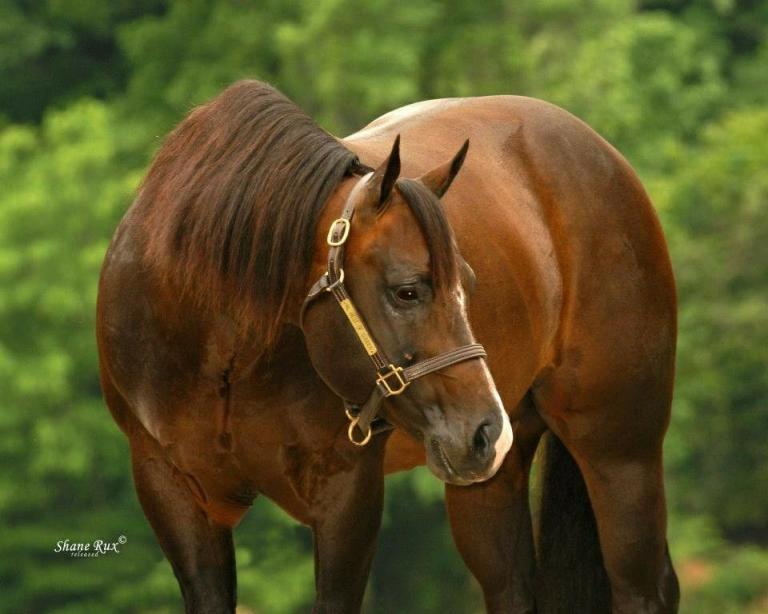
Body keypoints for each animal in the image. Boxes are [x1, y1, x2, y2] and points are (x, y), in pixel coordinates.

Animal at [96, 79, 680, 612]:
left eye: (468, 284)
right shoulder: (173, 492)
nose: (485, 430)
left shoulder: (346, 490)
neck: (224, 353)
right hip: (489, 480)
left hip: (618, 449)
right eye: (407, 290)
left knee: (643, 587)